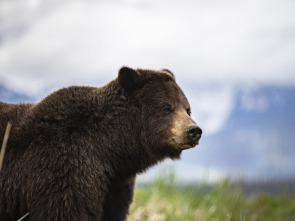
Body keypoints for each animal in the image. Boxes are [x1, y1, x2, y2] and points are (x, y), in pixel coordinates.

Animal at [0, 66, 202, 220]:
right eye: (167, 108)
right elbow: (62, 210)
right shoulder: (62, 167)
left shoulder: (115, 186)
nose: (194, 131)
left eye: (187, 109)